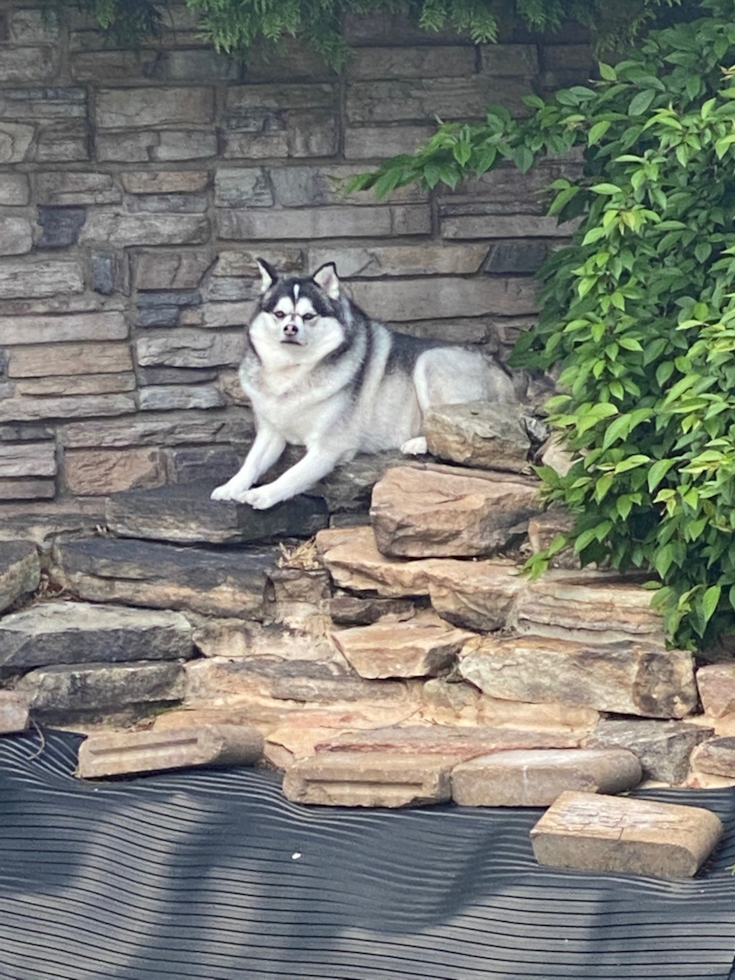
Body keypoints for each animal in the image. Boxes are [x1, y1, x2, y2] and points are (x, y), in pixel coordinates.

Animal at [210, 260, 524, 510]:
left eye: (309, 316)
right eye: (279, 314)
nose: (291, 328)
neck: (293, 373)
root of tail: (500, 368)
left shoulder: (329, 448)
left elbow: (292, 475)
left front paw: (263, 494)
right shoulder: (271, 433)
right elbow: (251, 462)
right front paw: (231, 487)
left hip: (429, 361)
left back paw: (419, 442)